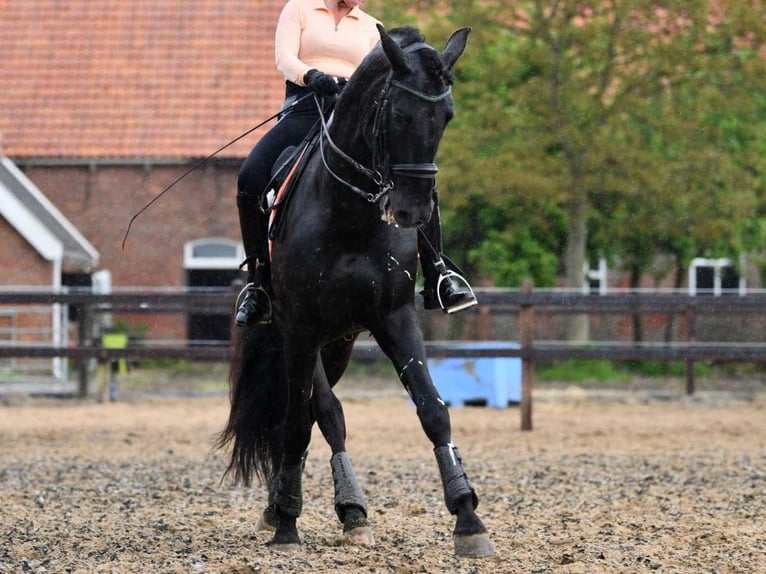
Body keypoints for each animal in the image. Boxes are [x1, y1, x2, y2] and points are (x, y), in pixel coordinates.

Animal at [218, 25, 495, 558]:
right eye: (400, 114)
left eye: (446, 116)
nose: (412, 211)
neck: (348, 214)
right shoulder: (301, 330)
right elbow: (300, 421)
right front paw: (288, 523)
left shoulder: (394, 317)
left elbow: (433, 409)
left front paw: (468, 519)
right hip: (298, 337)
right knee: (316, 413)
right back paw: (302, 508)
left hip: (340, 344)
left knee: (320, 415)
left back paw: (346, 511)